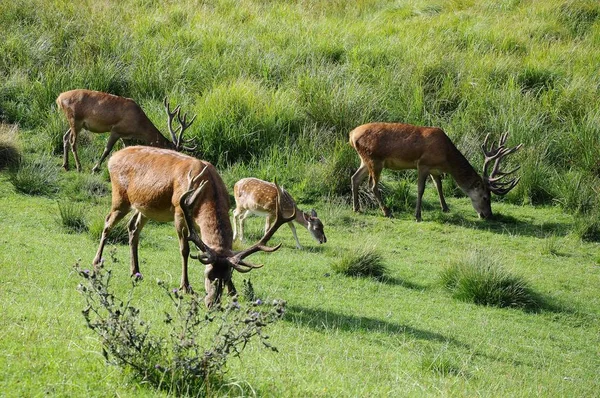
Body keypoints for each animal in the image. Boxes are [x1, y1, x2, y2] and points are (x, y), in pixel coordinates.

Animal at [56, 89, 197, 173]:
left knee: (65, 137)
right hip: (75, 120)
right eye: (172, 151)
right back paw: (79, 167)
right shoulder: (116, 130)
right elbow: (107, 150)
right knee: (73, 141)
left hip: (75, 123)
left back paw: (66, 165)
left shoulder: (125, 135)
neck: (138, 125)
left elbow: (127, 149)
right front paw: (95, 168)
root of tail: (59, 98)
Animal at [92, 146, 296, 308]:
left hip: (145, 208)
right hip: (120, 197)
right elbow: (185, 250)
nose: (212, 303)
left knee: (133, 227)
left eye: (226, 277)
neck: (208, 191)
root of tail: (113, 157)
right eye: (208, 275)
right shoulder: (179, 211)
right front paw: (185, 286)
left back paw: (135, 272)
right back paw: (97, 262)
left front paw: (234, 292)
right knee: (107, 223)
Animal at [350, 121, 524, 221]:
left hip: (364, 160)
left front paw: (445, 208)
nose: (488, 215)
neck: (446, 157)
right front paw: (417, 215)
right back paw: (387, 211)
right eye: (486, 197)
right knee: (372, 185)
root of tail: (351, 135)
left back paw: (357, 208)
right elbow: (421, 189)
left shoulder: (435, 169)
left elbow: (439, 186)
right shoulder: (423, 164)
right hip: (375, 159)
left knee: (355, 178)